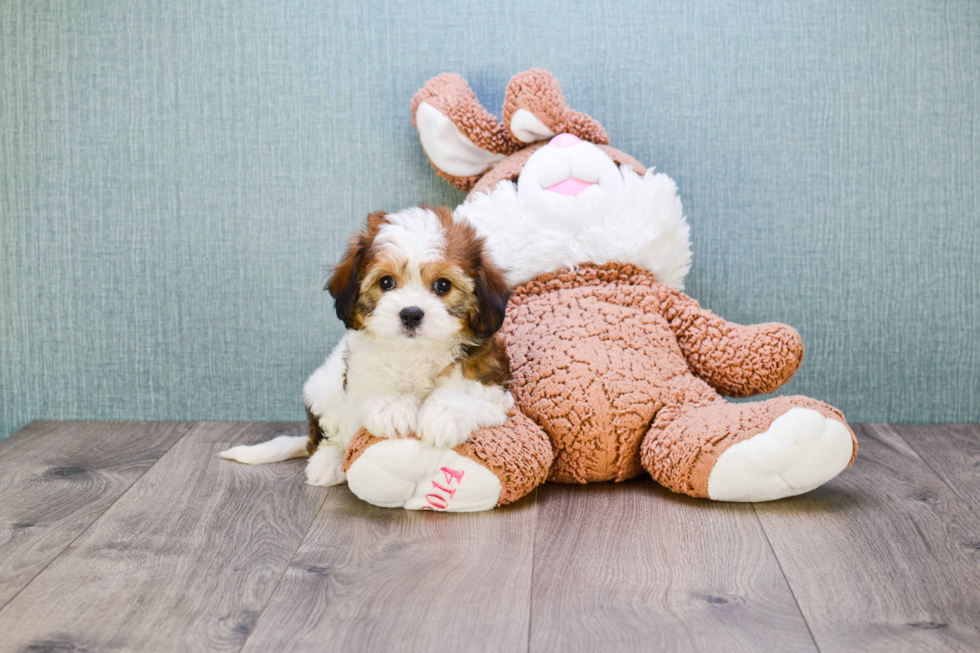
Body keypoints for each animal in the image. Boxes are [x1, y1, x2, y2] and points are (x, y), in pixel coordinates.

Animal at [219, 206, 516, 486]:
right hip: (322, 390)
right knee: (325, 437)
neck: (414, 352)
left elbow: (468, 391)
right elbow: (373, 388)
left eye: (443, 285)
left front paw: (443, 417)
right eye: (386, 282)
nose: (411, 313)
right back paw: (328, 462)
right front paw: (393, 409)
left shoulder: (492, 382)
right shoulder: (358, 376)